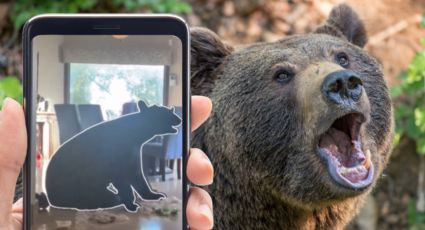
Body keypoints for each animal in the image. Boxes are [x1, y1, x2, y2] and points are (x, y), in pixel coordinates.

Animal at [45, 99, 181, 213]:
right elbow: (125, 182)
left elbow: (138, 178)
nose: (179, 118)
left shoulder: (133, 155)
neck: (134, 133)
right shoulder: (117, 161)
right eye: (162, 111)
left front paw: (153, 195)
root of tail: (50, 198)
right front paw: (131, 205)